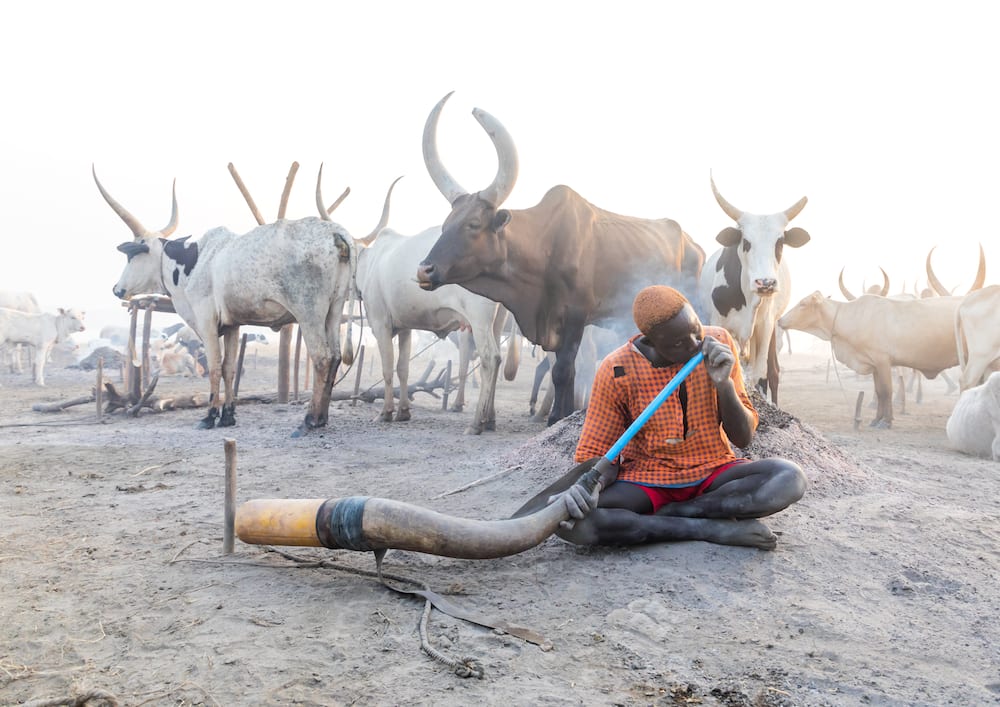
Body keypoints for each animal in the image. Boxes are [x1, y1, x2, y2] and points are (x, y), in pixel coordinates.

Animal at [94, 165, 358, 436]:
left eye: (132, 256)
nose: (117, 289)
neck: (195, 260)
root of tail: (336, 232)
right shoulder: (233, 324)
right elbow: (230, 368)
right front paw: (228, 416)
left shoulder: (206, 321)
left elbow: (214, 366)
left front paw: (209, 416)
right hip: (334, 310)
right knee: (335, 356)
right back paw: (322, 417)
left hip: (309, 313)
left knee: (322, 357)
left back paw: (309, 419)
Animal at [414, 94, 704, 426]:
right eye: (446, 223)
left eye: (473, 224)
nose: (424, 270)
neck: (544, 245)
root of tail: (692, 243)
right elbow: (564, 371)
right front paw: (560, 415)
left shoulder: (576, 316)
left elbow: (564, 370)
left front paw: (556, 417)